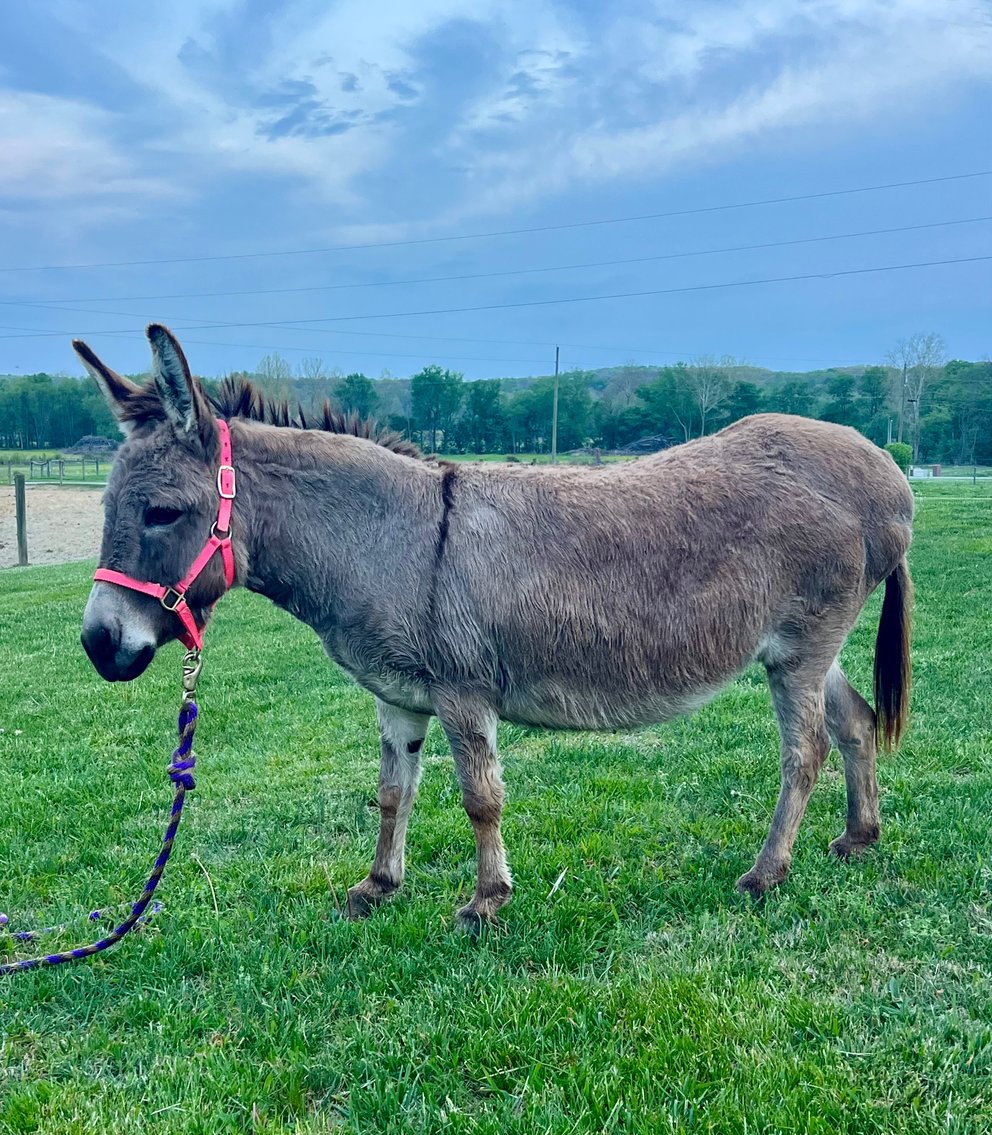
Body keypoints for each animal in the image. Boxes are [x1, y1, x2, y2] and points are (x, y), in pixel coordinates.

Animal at [75, 325, 913, 933]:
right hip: (809, 647)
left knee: (804, 750)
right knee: (855, 721)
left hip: (803, 644)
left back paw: (766, 873)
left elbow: (481, 796)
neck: (390, 537)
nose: (98, 644)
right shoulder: (398, 695)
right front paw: (378, 883)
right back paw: (859, 835)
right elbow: (393, 791)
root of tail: (884, 471)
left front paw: (485, 901)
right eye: (107, 508)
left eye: (161, 513)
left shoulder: (463, 690)